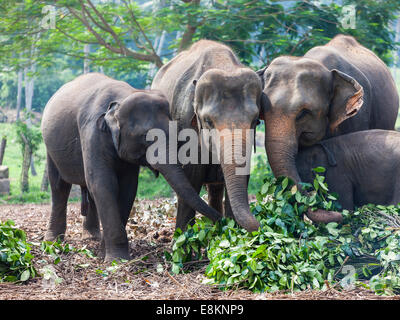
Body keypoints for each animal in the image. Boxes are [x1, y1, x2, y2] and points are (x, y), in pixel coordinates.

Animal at [41, 73, 222, 262]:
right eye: (145, 137)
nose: (223, 221)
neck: (123, 97)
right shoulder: (92, 133)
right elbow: (103, 183)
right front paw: (115, 260)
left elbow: (127, 188)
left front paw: (105, 254)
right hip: (50, 148)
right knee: (59, 186)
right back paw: (53, 241)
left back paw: (91, 238)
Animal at [152, 40, 264, 232]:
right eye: (207, 121)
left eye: (255, 121)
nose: (260, 224)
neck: (224, 64)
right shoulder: (186, 125)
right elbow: (191, 179)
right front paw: (183, 239)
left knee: (215, 190)